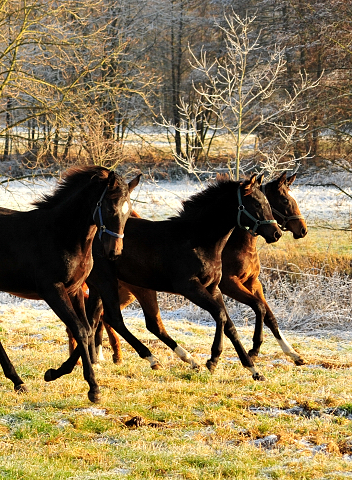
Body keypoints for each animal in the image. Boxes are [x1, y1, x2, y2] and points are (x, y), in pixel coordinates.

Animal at [0, 165, 140, 402]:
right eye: (110, 208)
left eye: (128, 212)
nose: (114, 252)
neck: (60, 235)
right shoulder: (52, 290)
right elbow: (79, 330)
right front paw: (93, 388)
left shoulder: (75, 290)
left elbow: (87, 329)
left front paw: (54, 373)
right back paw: (17, 380)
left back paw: (18, 381)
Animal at [69, 172, 308, 368]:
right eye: (257, 204)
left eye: (268, 202)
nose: (277, 233)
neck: (198, 239)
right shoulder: (193, 287)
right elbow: (224, 315)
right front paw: (216, 358)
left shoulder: (216, 288)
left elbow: (237, 320)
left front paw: (253, 363)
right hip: (112, 283)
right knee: (113, 318)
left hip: (109, 287)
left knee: (99, 319)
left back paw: (93, 358)